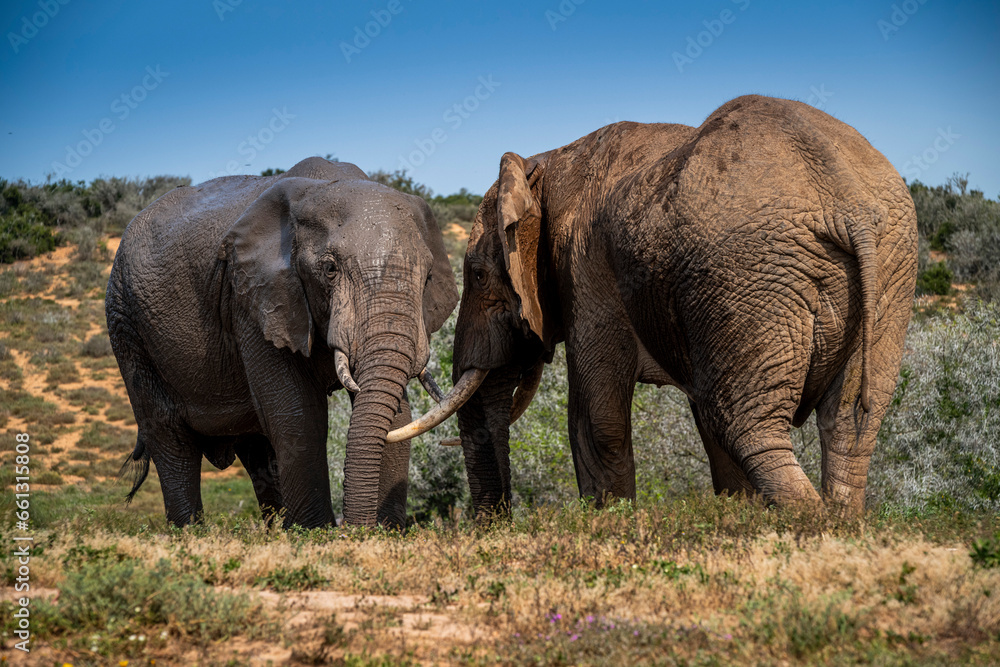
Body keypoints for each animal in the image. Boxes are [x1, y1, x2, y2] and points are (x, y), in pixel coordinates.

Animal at [106, 156, 463, 529]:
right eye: (330, 269)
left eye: (427, 276)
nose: (355, 530)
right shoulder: (252, 297)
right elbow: (297, 415)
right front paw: (316, 534)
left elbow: (396, 416)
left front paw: (386, 531)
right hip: (126, 325)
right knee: (170, 439)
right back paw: (189, 532)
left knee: (256, 448)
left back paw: (276, 530)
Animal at [417, 95, 918, 520]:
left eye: (478, 275)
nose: (493, 524)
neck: (552, 161)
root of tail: (845, 198)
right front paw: (737, 515)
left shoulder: (587, 268)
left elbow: (596, 417)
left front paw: (609, 523)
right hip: (888, 269)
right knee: (850, 421)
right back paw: (842, 520)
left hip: (746, 267)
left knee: (745, 423)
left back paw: (811, 523)